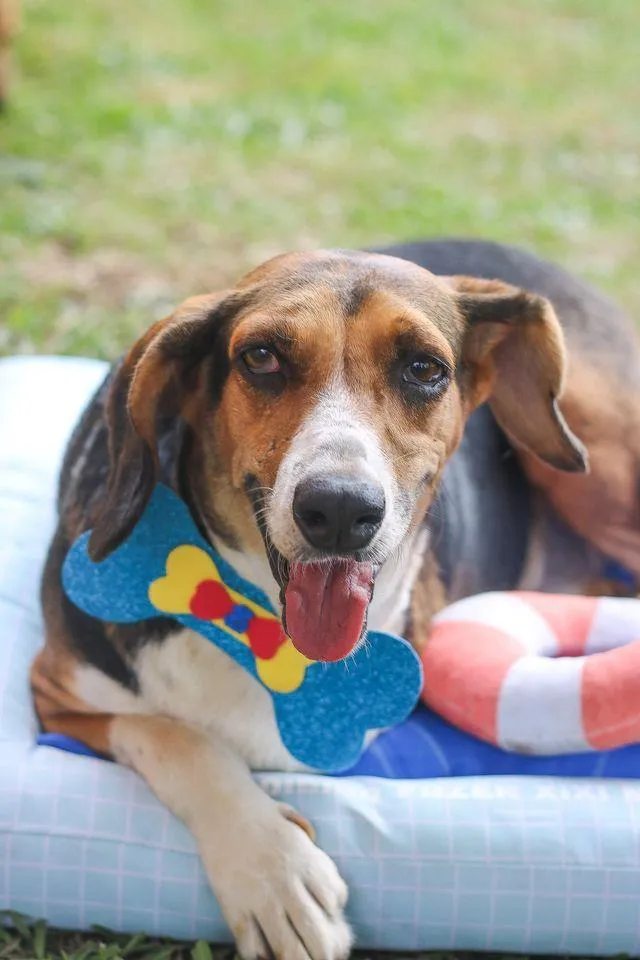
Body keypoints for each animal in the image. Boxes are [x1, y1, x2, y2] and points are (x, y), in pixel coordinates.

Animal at [33, 238, 640, 960]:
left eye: (424, 368)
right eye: (260, 357)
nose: (341, 510)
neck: (266, 634)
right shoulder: (58, 695)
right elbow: (175, 737)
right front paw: (274, 872)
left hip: (598, 461)